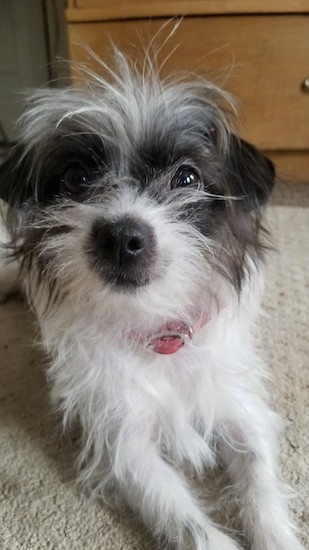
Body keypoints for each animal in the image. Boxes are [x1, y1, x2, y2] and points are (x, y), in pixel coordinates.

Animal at [0, 52, 304, 550]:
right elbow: (187, 522)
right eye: (77, 178)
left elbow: (259, 481)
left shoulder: (237, 408)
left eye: (187, 177)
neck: (156, 328)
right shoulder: (123, 442)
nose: (121, 238)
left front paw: (276, 537)